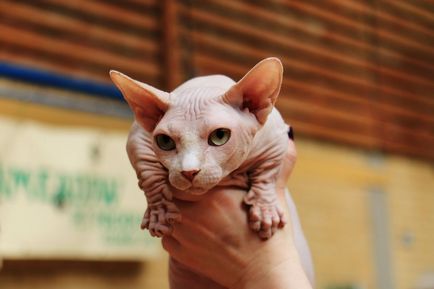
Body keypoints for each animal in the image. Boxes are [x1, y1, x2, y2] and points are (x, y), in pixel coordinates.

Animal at [110, 56, 290, 238]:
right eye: (165, 141)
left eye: (219, 136)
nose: (189, 172)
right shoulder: (137, 137)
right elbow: (150, 175)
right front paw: (159, 212)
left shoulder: (276, 137)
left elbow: (268, 172)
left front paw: (265, 210)